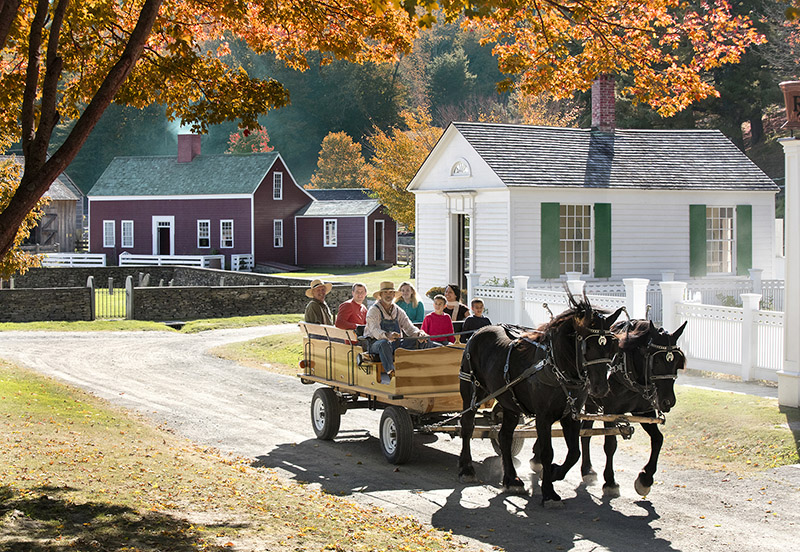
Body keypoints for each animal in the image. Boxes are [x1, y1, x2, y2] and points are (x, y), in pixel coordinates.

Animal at [456, 296, 624, 506]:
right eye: (588, 346)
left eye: (613, 345)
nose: (600, 387)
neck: (555, 367)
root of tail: (477, 333)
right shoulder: (543, 417)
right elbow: (546, 452)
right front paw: (549, 492)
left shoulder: (571, 416)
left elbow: (574, 452)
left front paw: (554, 472)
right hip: (472, 391)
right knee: (467, 426)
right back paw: (466, 468)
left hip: (510, 404)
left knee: (504, 436)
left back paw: (512, 479)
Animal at [580, 320, 688, 496]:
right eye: (656, 361)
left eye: (677, 361)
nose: (668, 401)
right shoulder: (610, 412)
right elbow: (610, 445)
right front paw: (610, 481)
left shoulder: (644, 412)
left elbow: (658, 439)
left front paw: (645, 478)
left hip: (590, 405)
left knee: (585, 433)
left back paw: (587, 470)